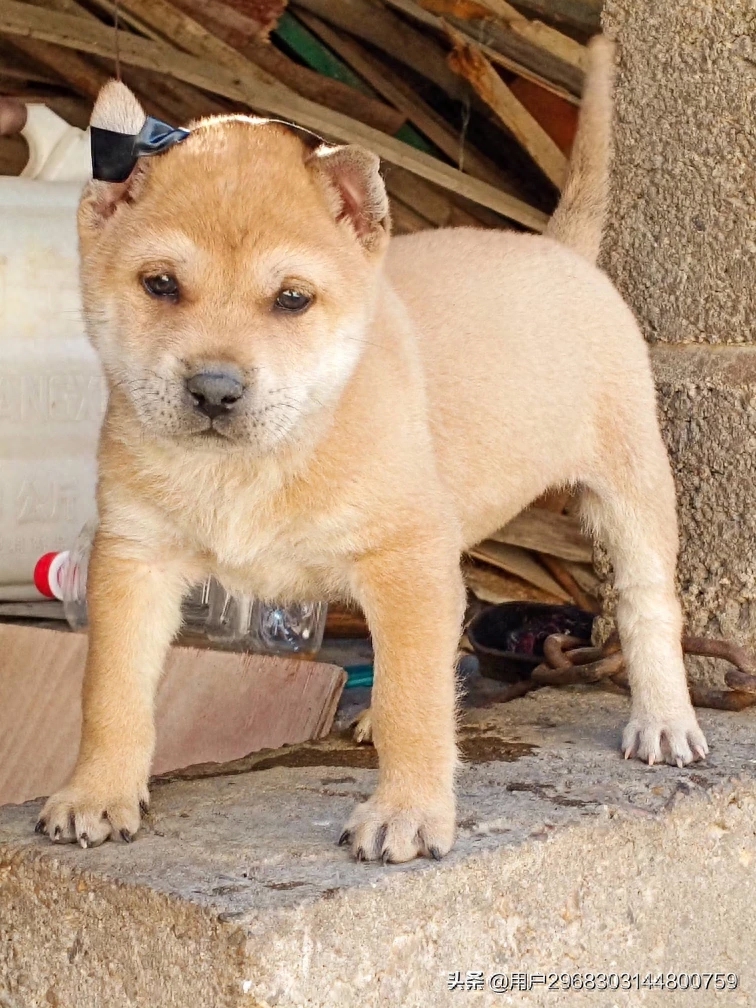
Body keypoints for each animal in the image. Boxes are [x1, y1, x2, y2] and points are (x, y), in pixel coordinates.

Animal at [37, 37, 709, 858]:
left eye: (292, 299)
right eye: (160, 284)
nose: (215, 391)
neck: (258, 461)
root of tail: (562, 252)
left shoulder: (407, 561)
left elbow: (417, 704)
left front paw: (409, 812)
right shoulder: (133, 559)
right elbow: (111, 691)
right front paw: (97, 792)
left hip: (629, 485)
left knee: (648, 605)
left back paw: (664, 719)